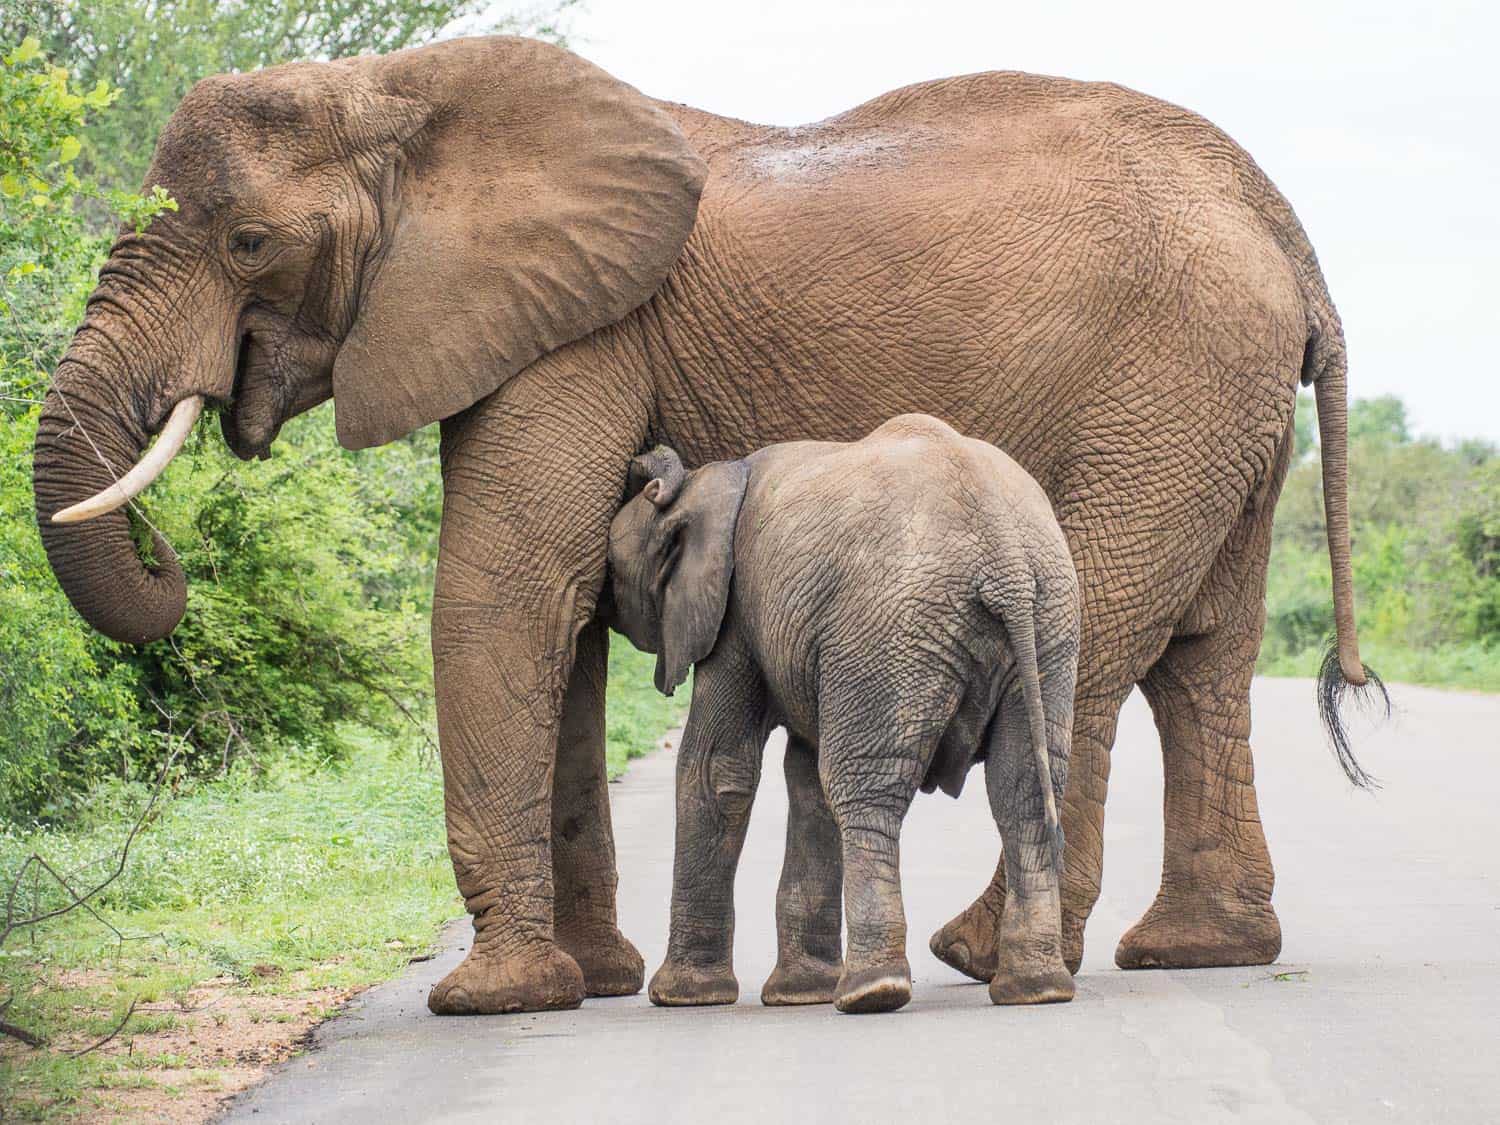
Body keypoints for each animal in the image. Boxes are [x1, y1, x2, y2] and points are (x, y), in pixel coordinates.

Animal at [606, 420, 1080, 1020]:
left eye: (612, 573)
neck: (709, 481)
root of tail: (1007, 562)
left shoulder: (736, 614)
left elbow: (719, 769)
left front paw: (682, 997)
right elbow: (805, 779)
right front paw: (799, 993)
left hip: (890, 632)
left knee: (863, 789)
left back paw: (871, 993)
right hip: (1048, 626)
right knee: (1022, 792)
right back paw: (1038, 988)